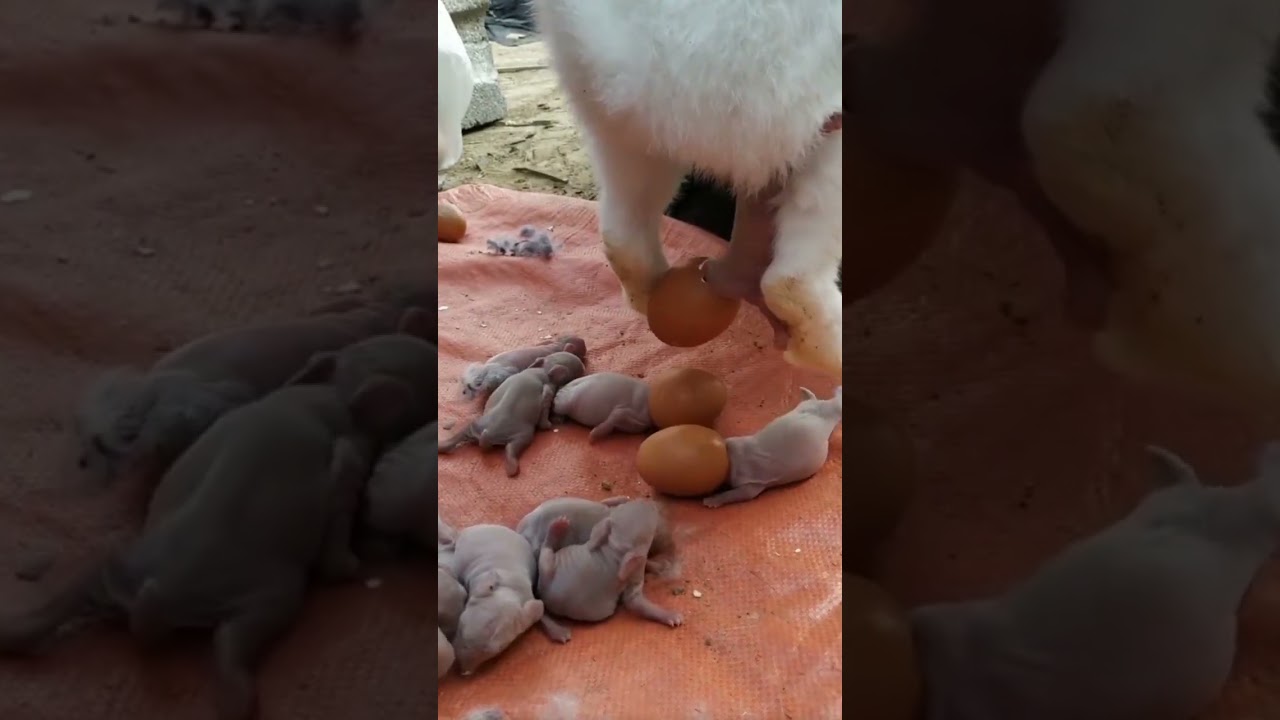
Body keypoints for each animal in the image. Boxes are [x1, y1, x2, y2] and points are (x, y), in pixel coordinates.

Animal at [0, 361, 421, 720]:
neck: (315, 405)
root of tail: (167, 594)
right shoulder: (344, 466)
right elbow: (337, 537)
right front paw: (351, 566)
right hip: (271, 593)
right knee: (234, 641)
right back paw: (240, 703)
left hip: (126, 565)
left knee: (75, 588)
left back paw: (12, 634)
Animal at [440, 352, 587, 477]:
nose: (584, 367)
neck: (542, 370)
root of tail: (489, 433)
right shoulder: (548, 388)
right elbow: (545, 409)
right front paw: (549, 425)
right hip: (523, 435)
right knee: (512, 448)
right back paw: (512, 468)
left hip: (477, 425)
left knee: (463, 431)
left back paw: (442, 446)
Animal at [535, 499, 683, 641]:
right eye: (653, 516)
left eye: (625, 505)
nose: (650, 502)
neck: (614, 550)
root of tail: (543, 594)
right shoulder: (634, 573)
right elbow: (634, 602)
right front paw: (670, 615)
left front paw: (659, 566)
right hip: (547, 568)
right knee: (545, 551)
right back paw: (555, 530)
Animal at [703, 386, 842, 508]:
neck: (733, 459)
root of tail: (828, 409)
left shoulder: (751, 484)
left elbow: (741, 494)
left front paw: (713, 500)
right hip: (806, 406)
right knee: (813, 400)